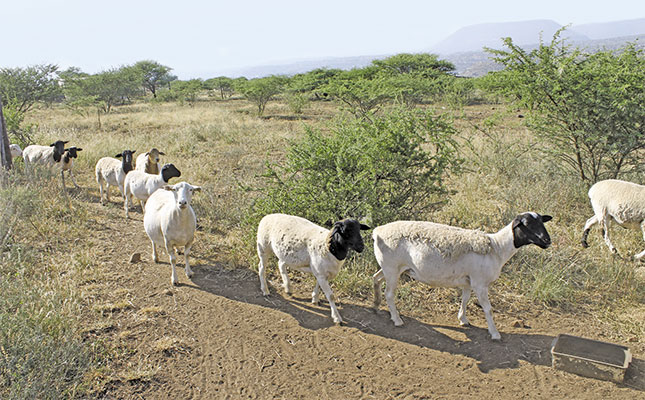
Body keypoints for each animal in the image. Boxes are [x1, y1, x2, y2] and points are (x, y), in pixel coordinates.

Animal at [370, 212, 552, 340]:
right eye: (526, 224)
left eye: (542, 222)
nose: (547, 241)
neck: (497, 248)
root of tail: (377, 231)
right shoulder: (479, 283)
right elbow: (488, 309)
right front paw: (494, 333)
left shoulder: (468, 281)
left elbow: (465, 300)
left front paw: (463, 319)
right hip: (392, 268)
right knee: (389, 294)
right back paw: (396, 319)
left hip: (389, 267)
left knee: (375, 278)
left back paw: (376, 305)